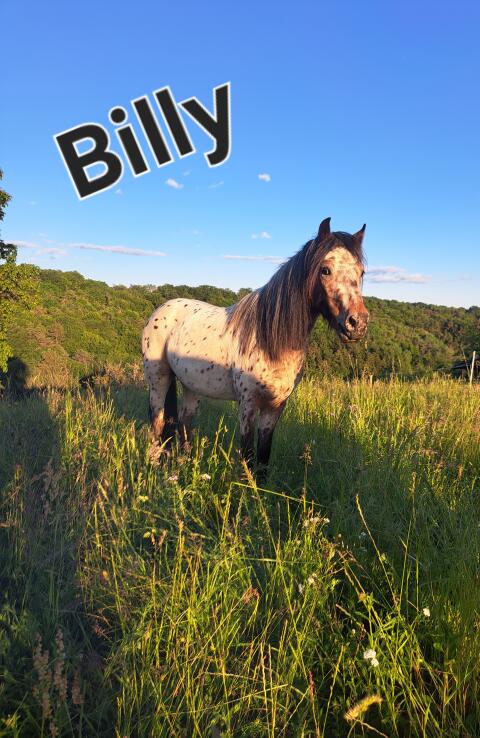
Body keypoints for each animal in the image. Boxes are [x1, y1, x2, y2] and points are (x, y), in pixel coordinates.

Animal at [142, 217, 369, 472]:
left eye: (361, 272)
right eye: (325, 270)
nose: (357, 323)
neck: (271, 341)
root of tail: (162, 309)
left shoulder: (275, 407)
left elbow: (263, 458)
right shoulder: (247, 405)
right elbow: (249, 457)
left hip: (192, 386)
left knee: (184, 424)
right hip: (158, 381)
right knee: (158, 424)